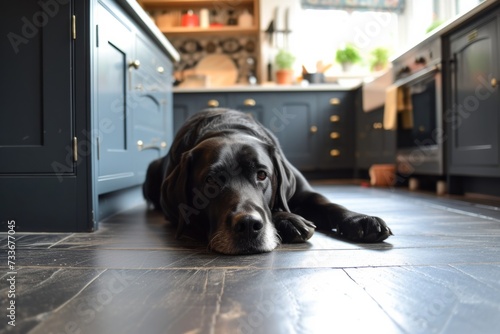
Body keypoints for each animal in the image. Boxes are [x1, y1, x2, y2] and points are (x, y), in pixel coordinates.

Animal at [143, 109, 392, 253]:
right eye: (210, 180)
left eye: (262, 175)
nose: (247, 226)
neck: (226, 127)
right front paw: (289, 220)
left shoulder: (302, 191)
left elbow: (328, 203)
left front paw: (360, 220)